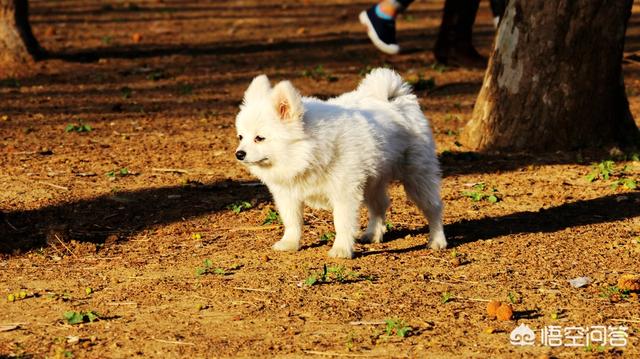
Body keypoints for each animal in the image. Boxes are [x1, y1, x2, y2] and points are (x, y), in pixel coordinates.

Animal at [234, 67, 444, 258]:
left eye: (259, 138)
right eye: (241, 137)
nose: (239, 154)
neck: (305, 152)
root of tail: (395, 98)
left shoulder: (345, 194)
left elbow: (342, 223)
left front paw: (341, 249)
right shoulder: (288, 195)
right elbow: (292, 221)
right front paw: (290, 243)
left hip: (417, 178)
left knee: (433, 207)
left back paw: (437, 240)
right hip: (372, 181)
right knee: (380, 205)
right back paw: (373, 234)